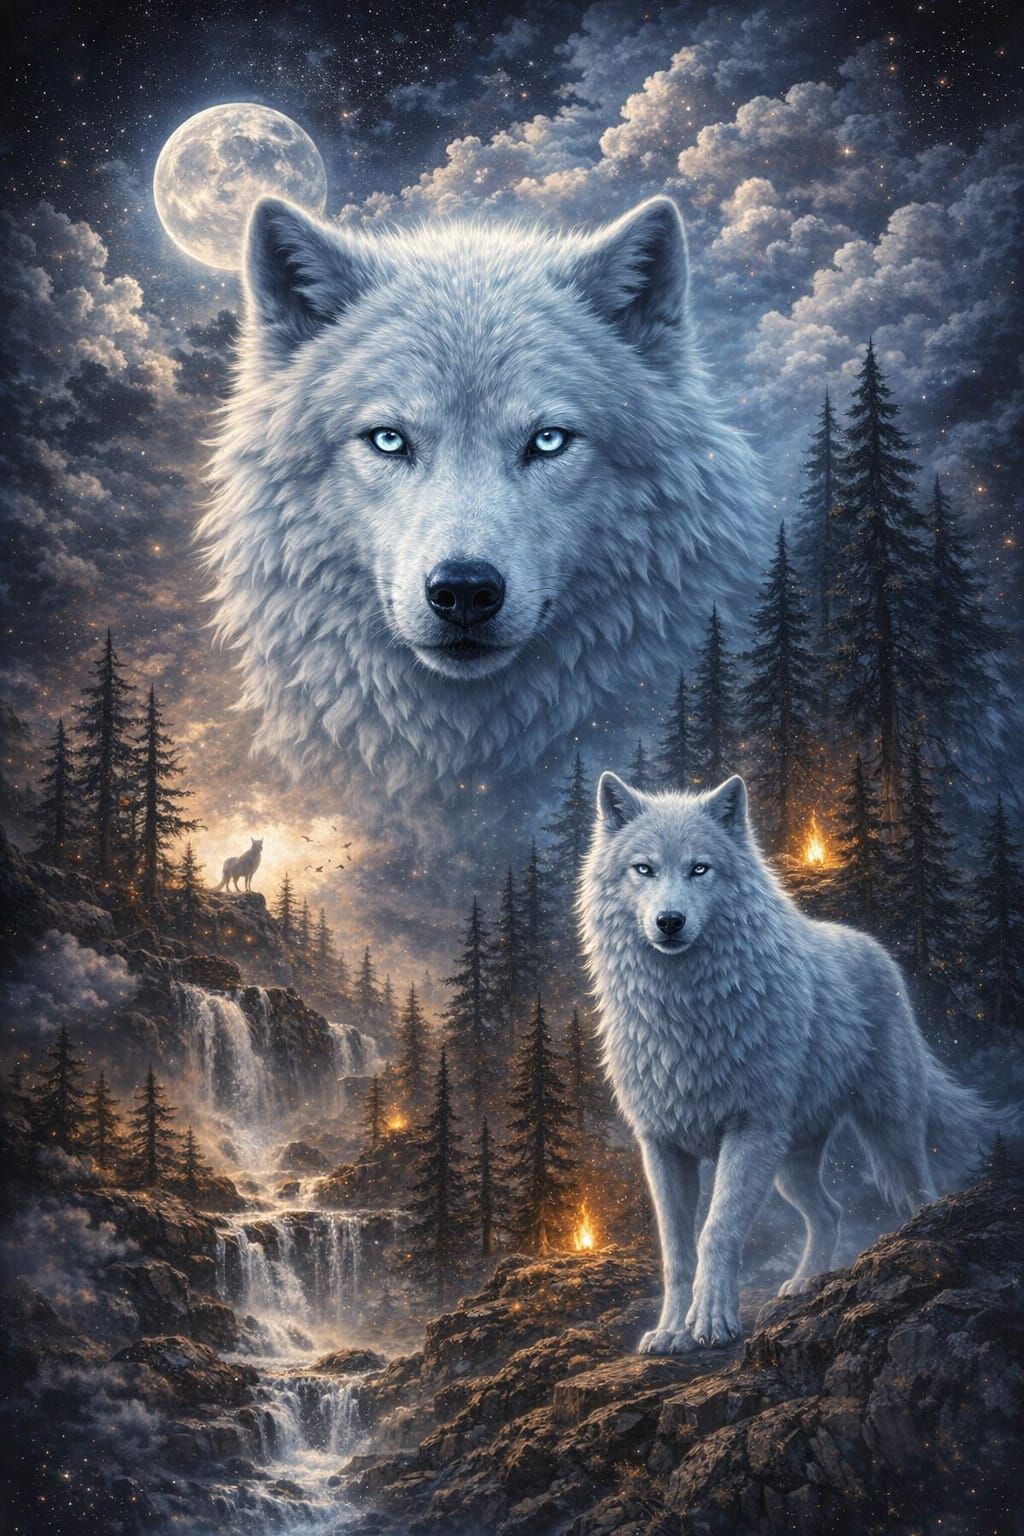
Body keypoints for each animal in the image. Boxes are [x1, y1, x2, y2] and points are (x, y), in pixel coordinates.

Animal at [579, 772, 989, 1355]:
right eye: (644, 868)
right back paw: (803, 1283)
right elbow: (676, 1252)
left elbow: (717, 1232)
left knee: (921, 1193)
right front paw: (670, 1331)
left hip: (886, 1133)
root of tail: (875, 948)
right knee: (830, 1212)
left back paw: (920, 1245)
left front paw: (711, 1323)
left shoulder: (749, 1132)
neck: (684, 1014)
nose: (670, 921)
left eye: (700, 868)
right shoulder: (662, 1146)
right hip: (790, 1168)